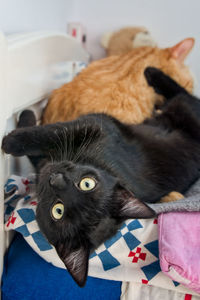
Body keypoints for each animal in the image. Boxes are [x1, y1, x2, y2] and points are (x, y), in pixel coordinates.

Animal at [2, 67, 200, 286]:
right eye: (88, 183)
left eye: (58, 211)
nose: (56, 178)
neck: (99, 163)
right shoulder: (90, 131)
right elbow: (46, 141)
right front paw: (24, 120)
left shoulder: (95, 125)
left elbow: (50, 132)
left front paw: (12, 139)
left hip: (185, 109)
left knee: (184, 95)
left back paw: (151, 72)